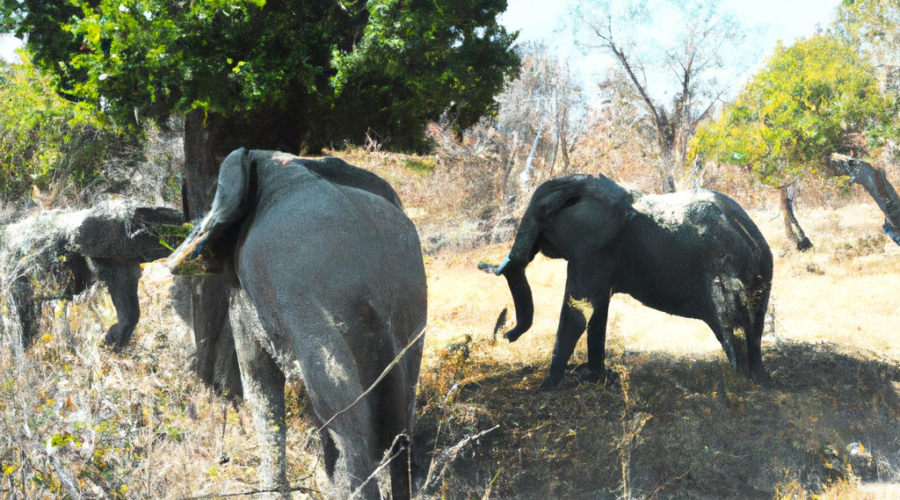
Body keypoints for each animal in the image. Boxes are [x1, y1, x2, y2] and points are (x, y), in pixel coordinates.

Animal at [167, 148, 428, 500]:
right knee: (401, 420)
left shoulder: (251, 299)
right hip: (409, 300)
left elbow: (260, 384)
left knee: (342, 414)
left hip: (314, 302)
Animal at [488, 175, 768, 390]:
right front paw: (594, 378)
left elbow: (577, 314)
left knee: (731, 328)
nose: (506, 336)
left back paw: (739, 384)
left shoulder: (595, 251)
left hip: (724, 272)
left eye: (541, 213)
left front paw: (546, 388)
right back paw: (758, 378)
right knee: (754, 330)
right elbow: (597, 311)